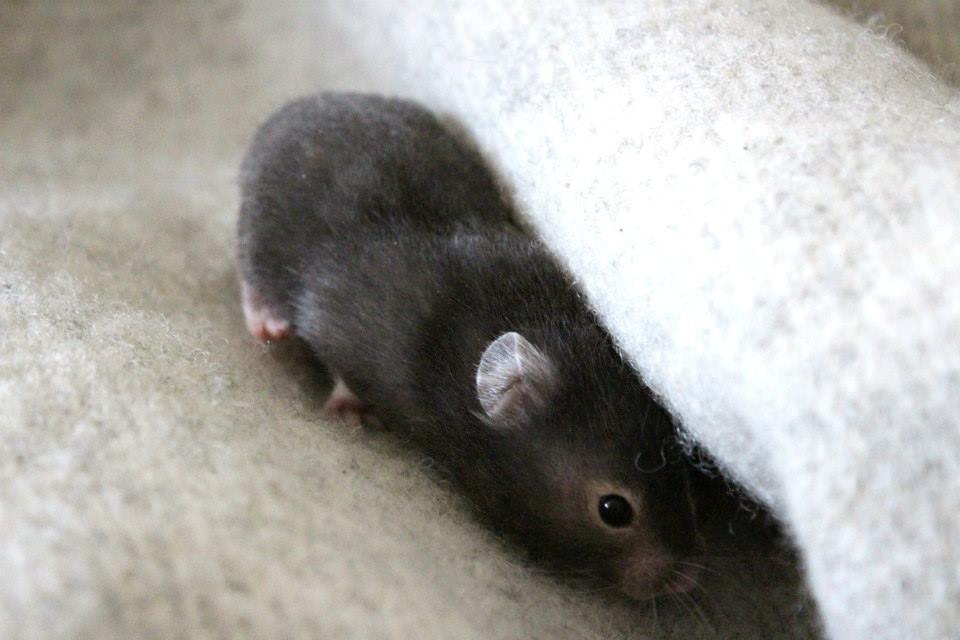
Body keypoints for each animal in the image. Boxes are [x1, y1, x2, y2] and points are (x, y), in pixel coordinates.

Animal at [237, 92, 701, 599]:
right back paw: (268, 325)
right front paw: (352, 415)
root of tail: (296, 106)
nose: (685, 580)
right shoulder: (343, 322)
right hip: (257, 233)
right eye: (614, 510)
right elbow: (342, 371)